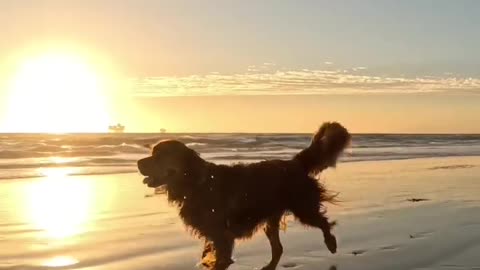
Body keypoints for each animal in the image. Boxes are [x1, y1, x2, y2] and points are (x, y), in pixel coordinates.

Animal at [137, 123, 350, 270]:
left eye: (159, 155)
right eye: (152, 152)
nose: (138, 162)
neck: (196, 183)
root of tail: (295, 163)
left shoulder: (222, 235)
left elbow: (220, 259)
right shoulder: (212, 233)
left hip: (303, 206)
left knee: (323, 222)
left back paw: (331, 243)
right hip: (272, 217)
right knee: (278, 248)